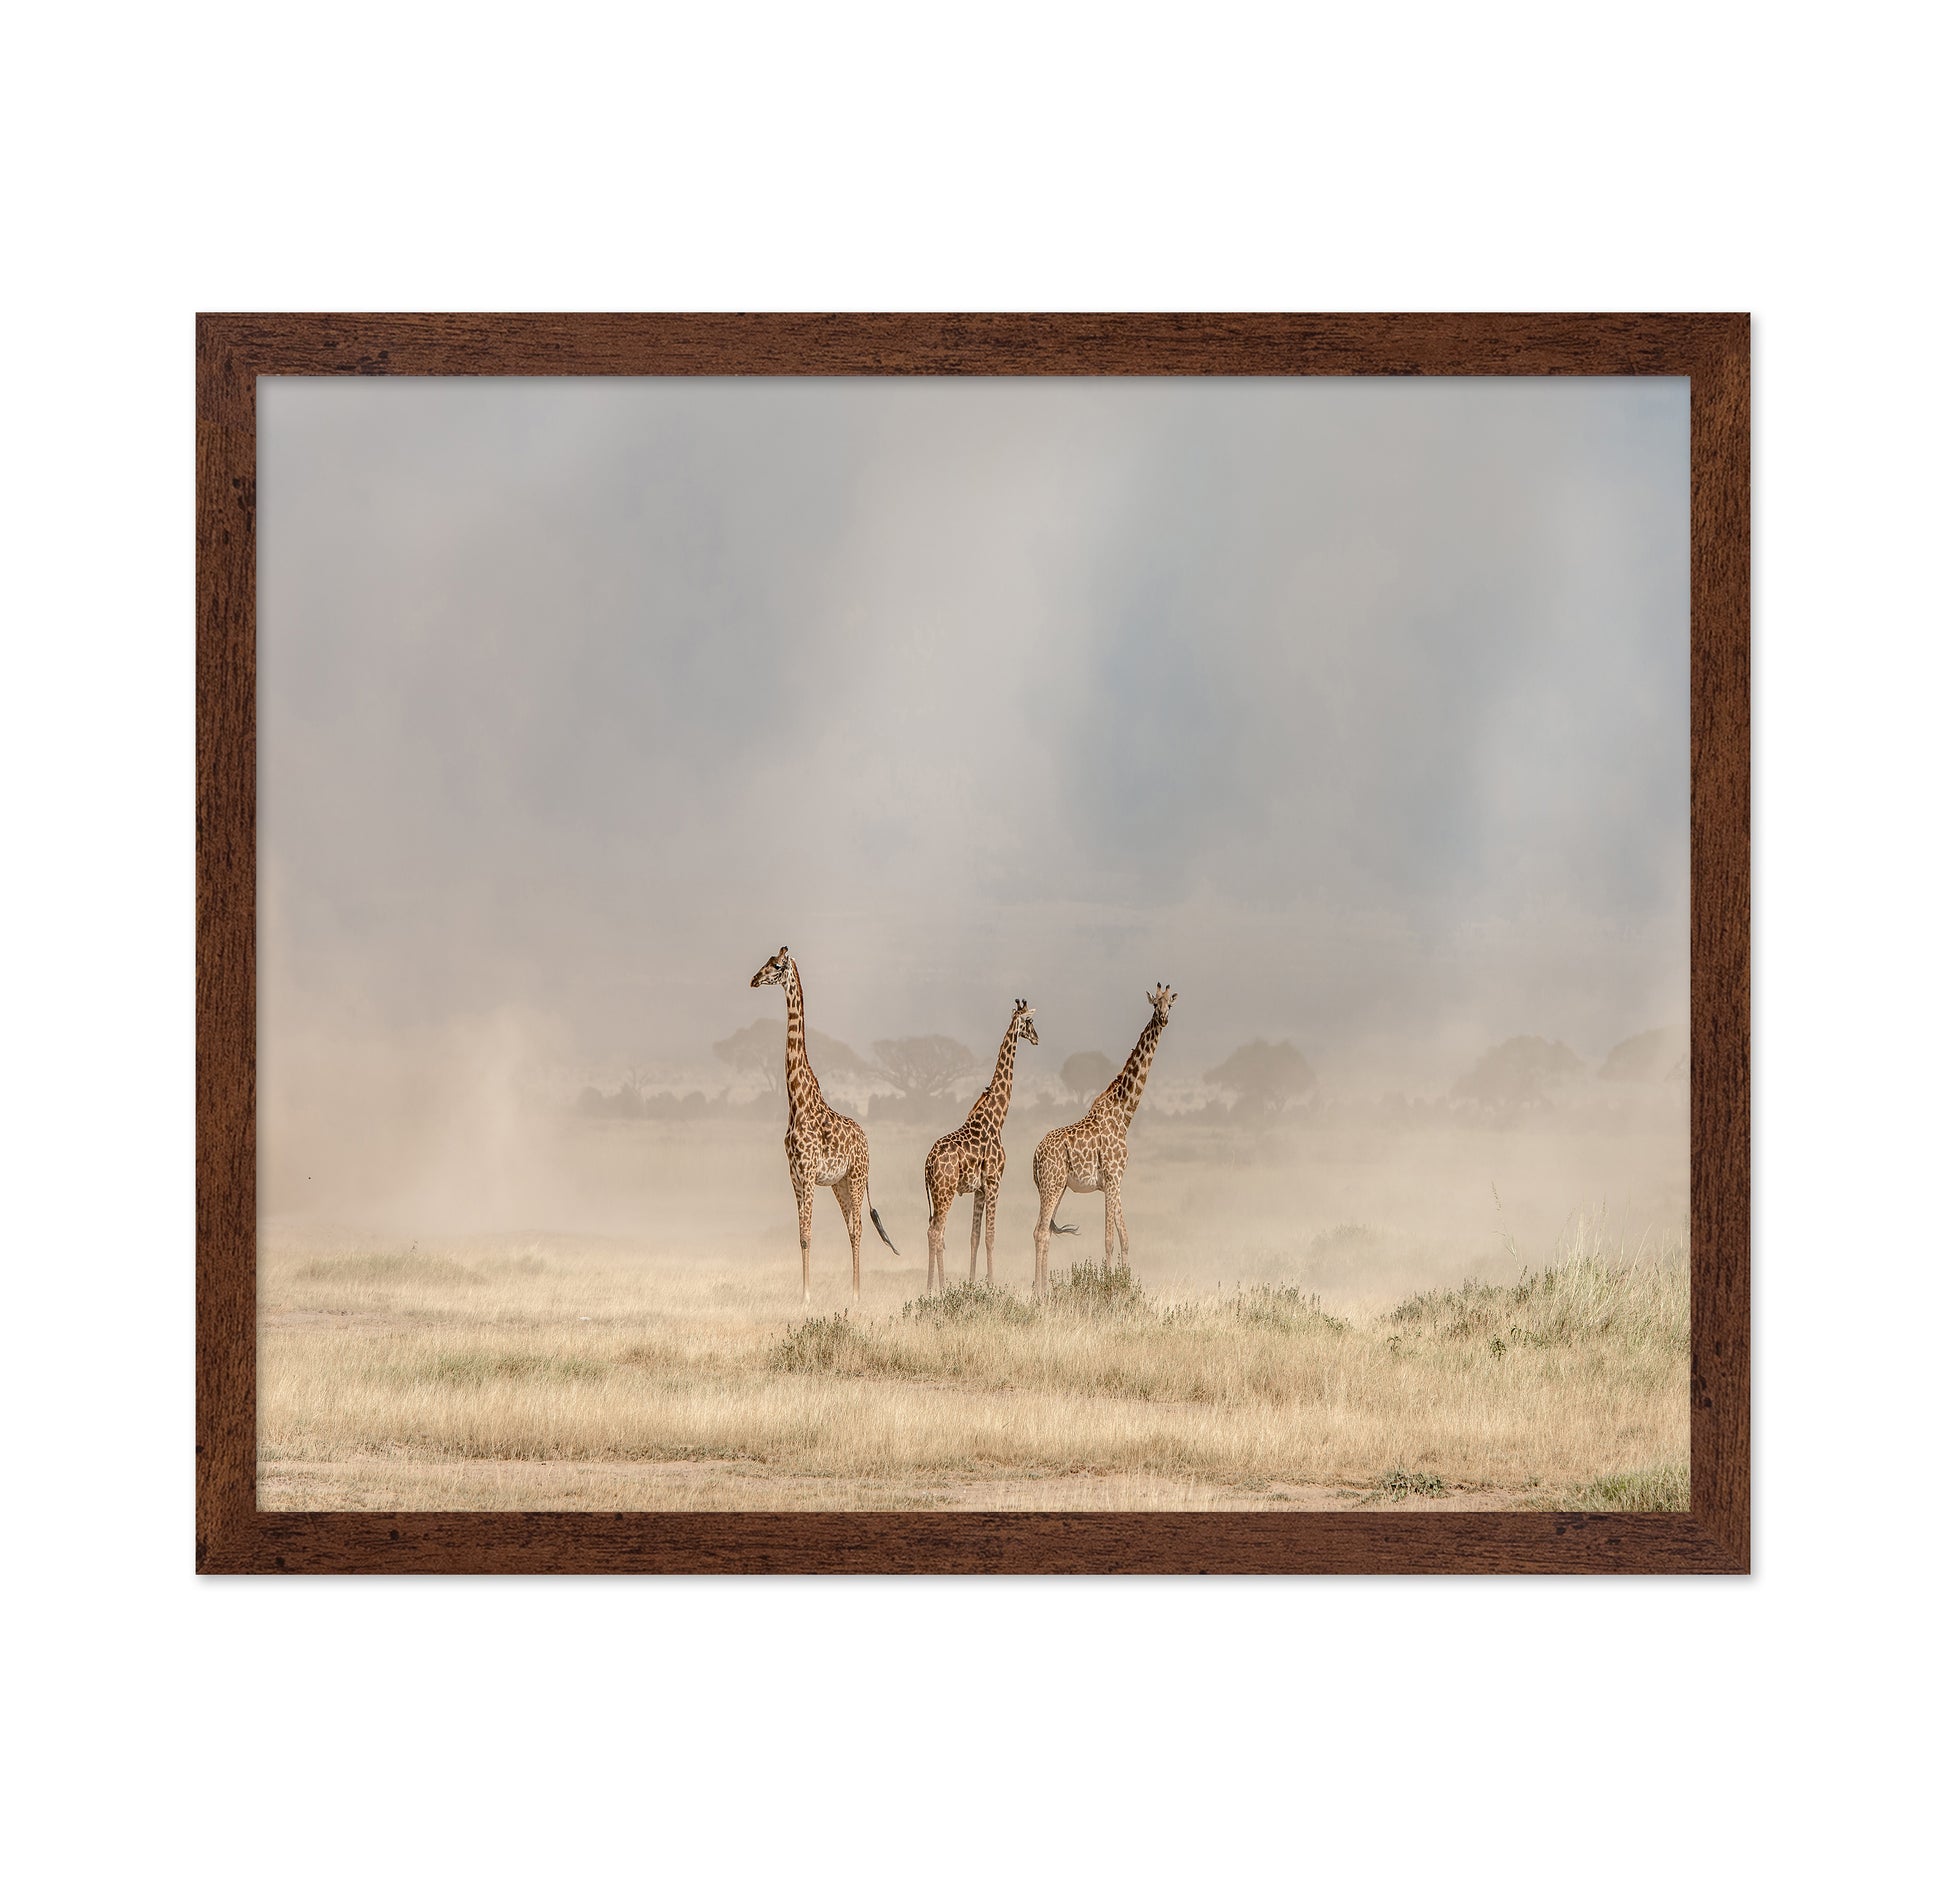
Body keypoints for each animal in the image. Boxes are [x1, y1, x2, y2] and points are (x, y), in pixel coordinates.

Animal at [749, 945, 897, 1305]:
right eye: (766, 962)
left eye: (777, 966)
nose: (754, 980)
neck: (797, 1102)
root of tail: (866, 1140)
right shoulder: (795, 1175)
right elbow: (801, 1234)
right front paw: (803, 1295)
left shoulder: (808, 1173)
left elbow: (808, 1233)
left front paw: (806, 1297)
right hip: (839, 1184)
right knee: (851, 1229)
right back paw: (852, 1293)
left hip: (856, 1178)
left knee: (859, 1228)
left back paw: (857, 1296)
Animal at [922, 999, 1040, 1292]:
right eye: (1030, 1022)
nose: (1036, 1038)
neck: (996, 1118)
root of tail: (927, 1164)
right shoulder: (995, 1181)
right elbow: (990, 1235)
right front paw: (991, 1283)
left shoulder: (979, 1188)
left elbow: (974, 1236)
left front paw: (973, 1283)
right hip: (946, 1191)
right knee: (936, 1232)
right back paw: (938, 1288)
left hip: (938, 1194)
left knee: (934, 1231)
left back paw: (932, 1287)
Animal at [1030, 984, 1177, 1294]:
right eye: (1154, 1003)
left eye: (1170, 1003)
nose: (1163, 1019)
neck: (1124, 1114)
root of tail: (1035, 1156)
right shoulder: (1111, 1177)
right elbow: (1109, 1240)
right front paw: (1110, 1285)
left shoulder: (1116, 1181)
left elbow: (1125, 1238)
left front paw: (1126, 1282)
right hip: (1051, 1184)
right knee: (1039, 1232)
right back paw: (1040, 1292)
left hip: (1057, 1187)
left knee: (1043, 1231)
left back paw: (1044, 1290)